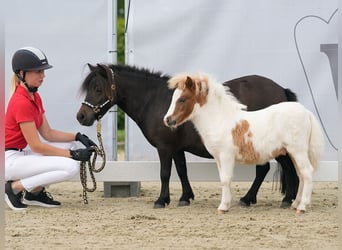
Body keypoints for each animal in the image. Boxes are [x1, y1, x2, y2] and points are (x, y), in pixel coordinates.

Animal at [76, 63, 298, 208]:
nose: (81, 116)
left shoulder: (164, 148)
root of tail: (281, 90)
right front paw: (185, 197)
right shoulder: (177, 148)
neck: (155, 100)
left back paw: (284, 200)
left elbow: (165, 173)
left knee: (284, 168)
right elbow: (182, 171)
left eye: (98, 88)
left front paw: (161, 200)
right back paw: (253, 199)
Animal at [164, 73, 324, 214]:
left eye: (182, 99)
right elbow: (223, 179)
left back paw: (301, 207)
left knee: (307, 173)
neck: (220, 119)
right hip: (294, 153)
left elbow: (226, 179)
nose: (167, 120)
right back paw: (295, 204)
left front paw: (223, 207)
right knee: (301, 175)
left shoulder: (226, 156)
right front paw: (226, 204)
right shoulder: (218, 157)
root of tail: (306, 112)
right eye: (173, 98)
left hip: (297, 151)